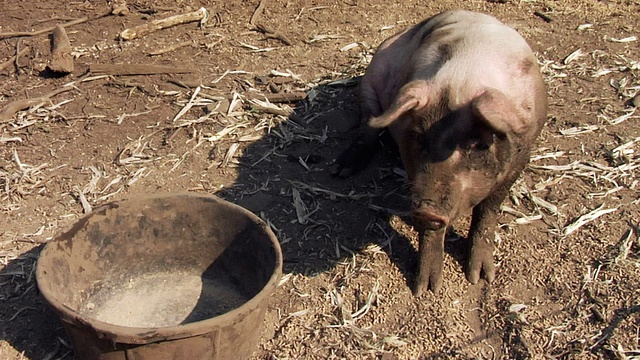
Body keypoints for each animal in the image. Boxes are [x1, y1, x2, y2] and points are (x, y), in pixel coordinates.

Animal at [332, 9, 548, 296]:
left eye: (475, 144)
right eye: (418, 137)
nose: (427, 210)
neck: (463, 76)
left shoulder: (522, 154)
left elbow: (489, 209)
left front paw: (480, 277)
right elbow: (432, 231)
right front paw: (426, 289)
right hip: (371, 78)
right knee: (367, 126)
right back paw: (340, 170)